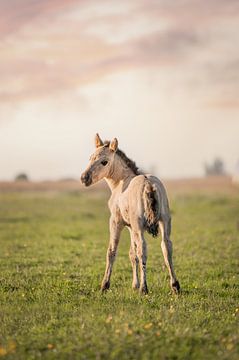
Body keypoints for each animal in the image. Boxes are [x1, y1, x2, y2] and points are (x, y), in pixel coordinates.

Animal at [80, 134, 179, 294]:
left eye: (104, 162)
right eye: (90, 158)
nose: (84, 178)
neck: (120, 182)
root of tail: (148, 184)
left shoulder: (116, 222)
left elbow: (112, 251)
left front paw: (105, 285)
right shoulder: (130, 227)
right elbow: (132, 254)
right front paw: (134, 285)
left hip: (139, 226)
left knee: (143, 249)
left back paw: (144, 288)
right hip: (164, 221)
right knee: (166, 247)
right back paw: (175, 286)